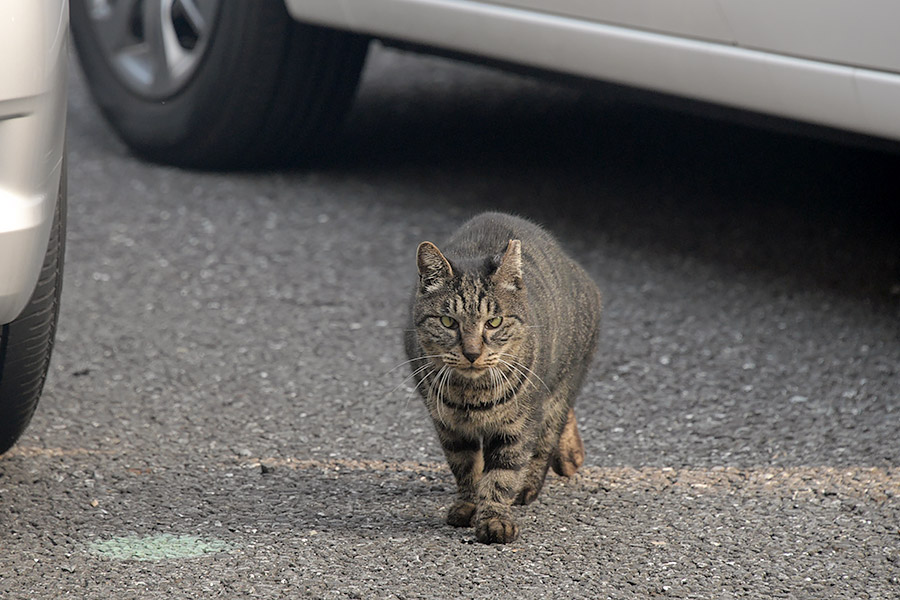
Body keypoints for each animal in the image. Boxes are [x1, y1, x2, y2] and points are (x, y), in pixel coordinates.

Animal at [404, 212, 600, 544]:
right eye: (448, 322)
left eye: (493, 322)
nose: (471, 352)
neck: (472, 393)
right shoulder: (449, 425)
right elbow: (465, 467)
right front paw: (468, 505)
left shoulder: (517, 426)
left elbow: (502, 475)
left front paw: (495, 519)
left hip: (560, 384)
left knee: (549, 434)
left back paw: (534, 482)